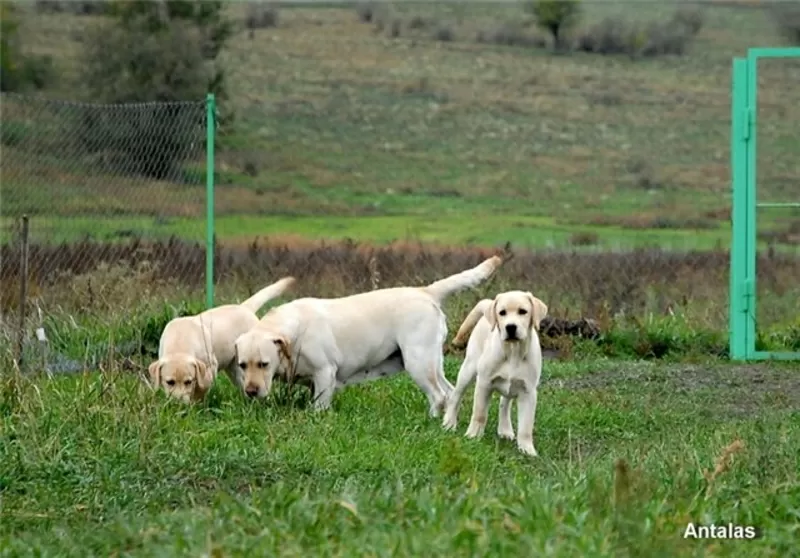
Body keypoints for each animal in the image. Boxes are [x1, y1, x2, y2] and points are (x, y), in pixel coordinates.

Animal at [148, 278, 296, 402]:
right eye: (170, 382)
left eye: (188, 382)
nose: (179, 403)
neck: (180, 340)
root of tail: (244, 307)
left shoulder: (211, 365)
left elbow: (202, 385)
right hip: (235, 369)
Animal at [234, 256, 504, 418]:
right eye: (242, 365)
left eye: (264, 364)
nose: (251, 391)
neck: (295, 332)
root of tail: (425, 291)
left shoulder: (324, 373)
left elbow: (320, 406)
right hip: (431, 362)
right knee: (449, 392)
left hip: (418, 362)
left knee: (438, 395)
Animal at [444, 290, 552, 458]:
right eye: (502, 313)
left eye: (523, 311)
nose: (510, 327)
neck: (513, 351)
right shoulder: (484, 383)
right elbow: (479, 414)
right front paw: (473, 436)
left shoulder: (528, 392)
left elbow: (526, 426)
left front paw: (527, 449)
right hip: (468, 368)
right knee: (455, 396)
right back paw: (449, 423)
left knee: (504, 403)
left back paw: (505, 430)